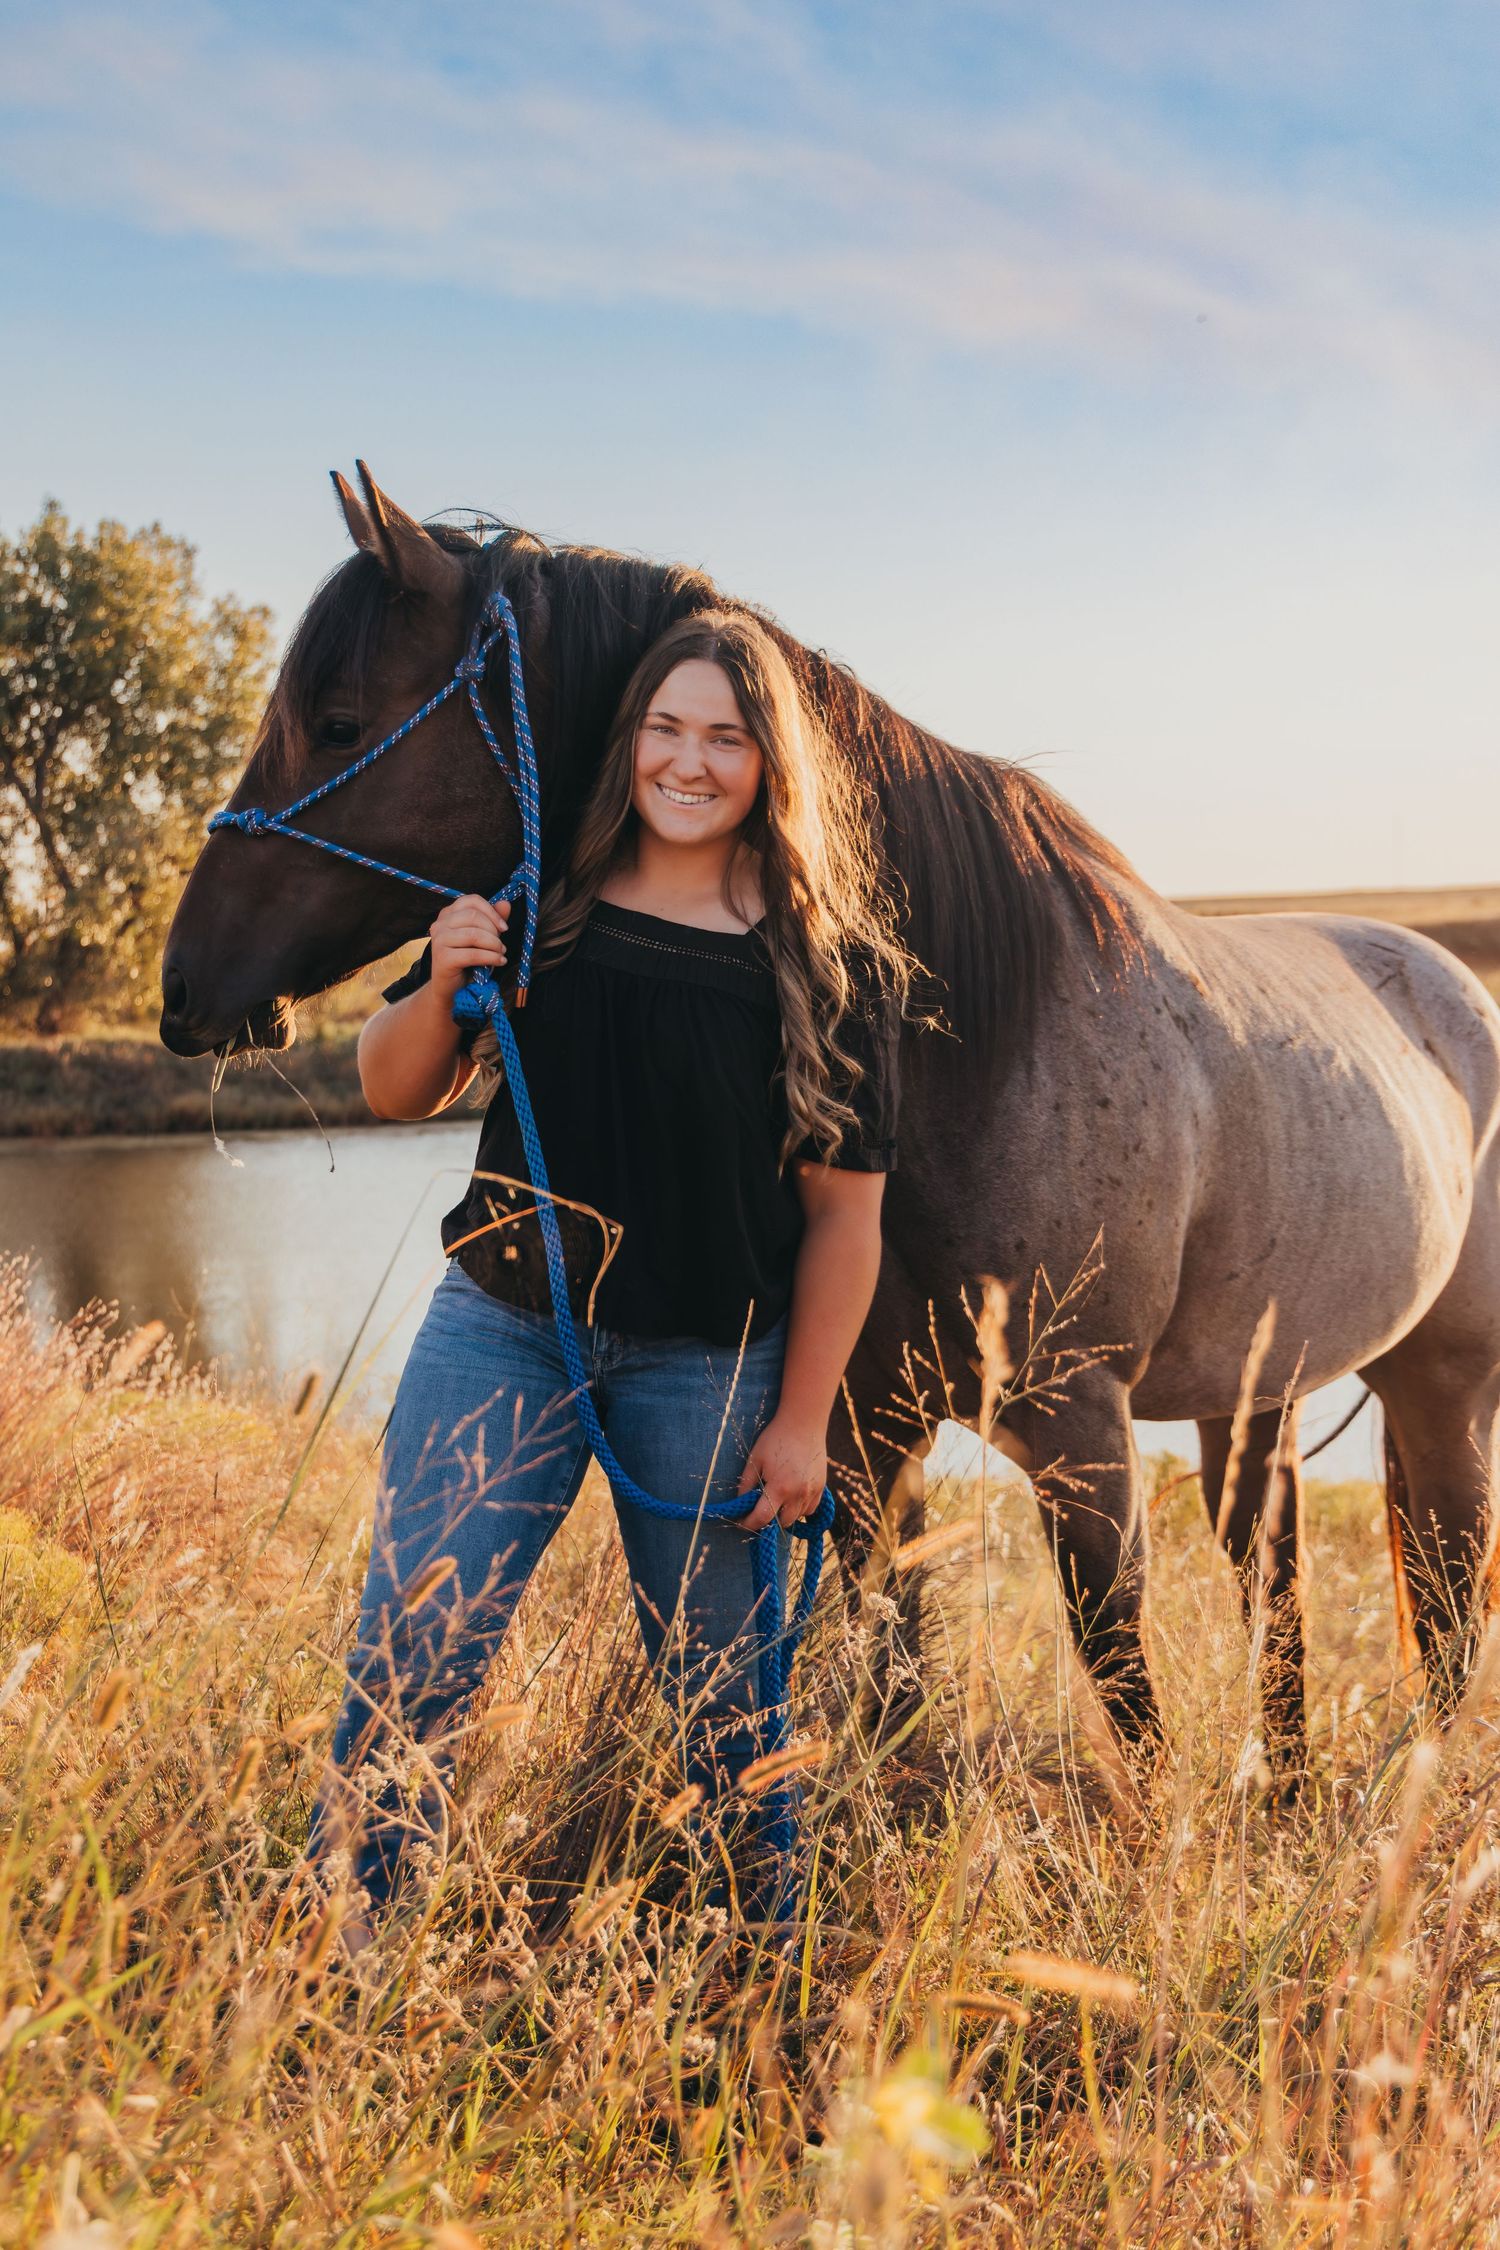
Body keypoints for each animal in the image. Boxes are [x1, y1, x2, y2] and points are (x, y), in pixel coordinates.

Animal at [161, 463, 1500, 1790]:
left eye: (339, 724)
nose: (185, 988)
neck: (982, 1050)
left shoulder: (1082, 1432)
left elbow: (1122, 1682)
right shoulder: (855, 1433)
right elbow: (889, 1675)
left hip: (1438, 1384)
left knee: (1444, 1599)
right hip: (1260, 1391)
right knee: (1277, 1576)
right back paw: (1288, 1790)